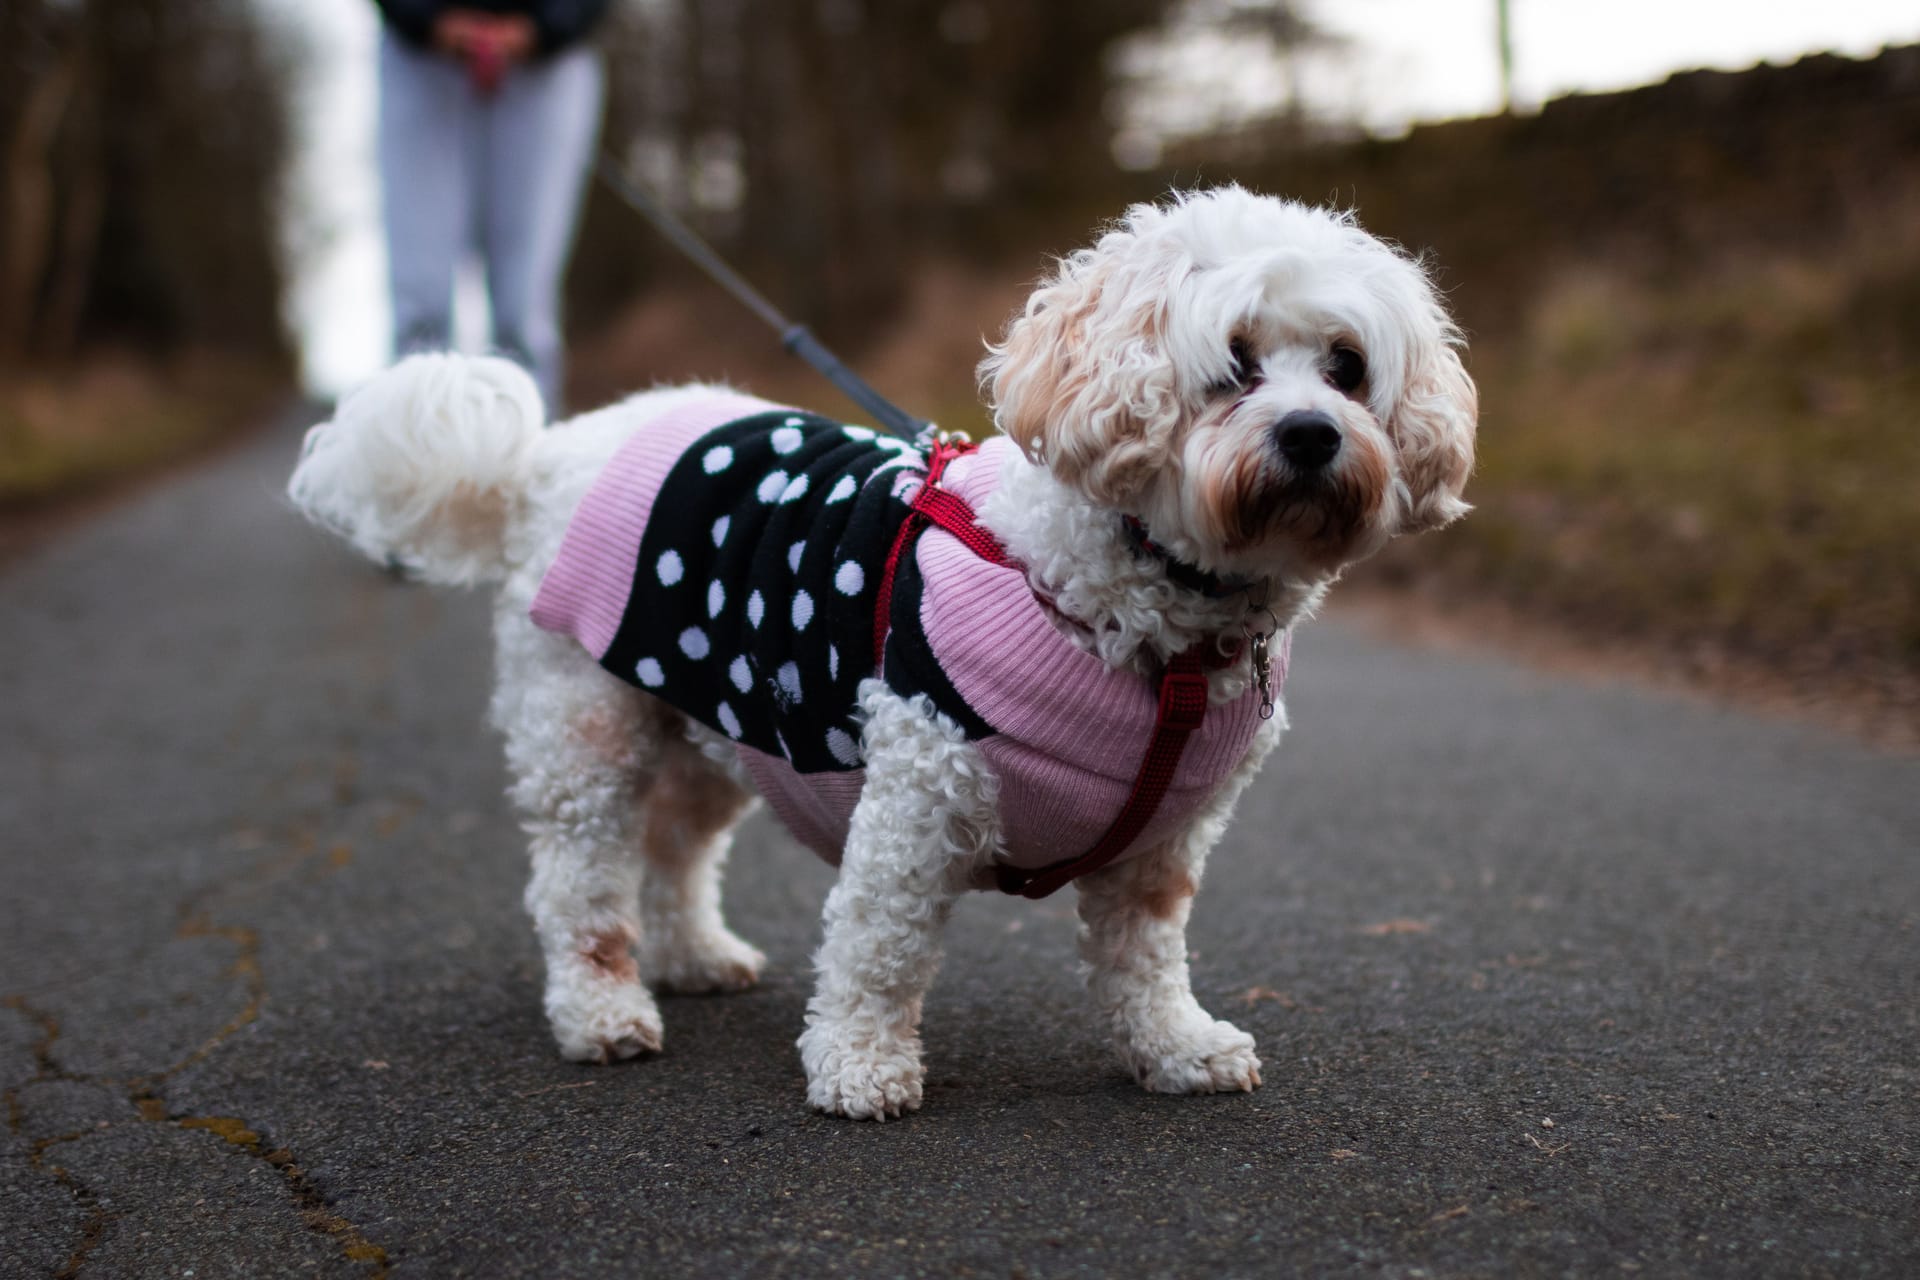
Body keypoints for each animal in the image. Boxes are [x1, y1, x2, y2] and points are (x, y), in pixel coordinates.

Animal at [291, 185, 1474, 1113]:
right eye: (1233, 364)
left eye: (1347, 367)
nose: (1312, 435)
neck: (1149, 620)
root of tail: (545, 455)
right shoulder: (921, 794)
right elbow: (881, 942)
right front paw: (860, 1066)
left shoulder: (1163, 844)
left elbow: (1146, 959)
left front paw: (1175, 1048)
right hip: (586, 730)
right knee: (578, 885)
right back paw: (603, 1009)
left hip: (720, 722)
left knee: (677, 846)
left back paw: (695, 957)